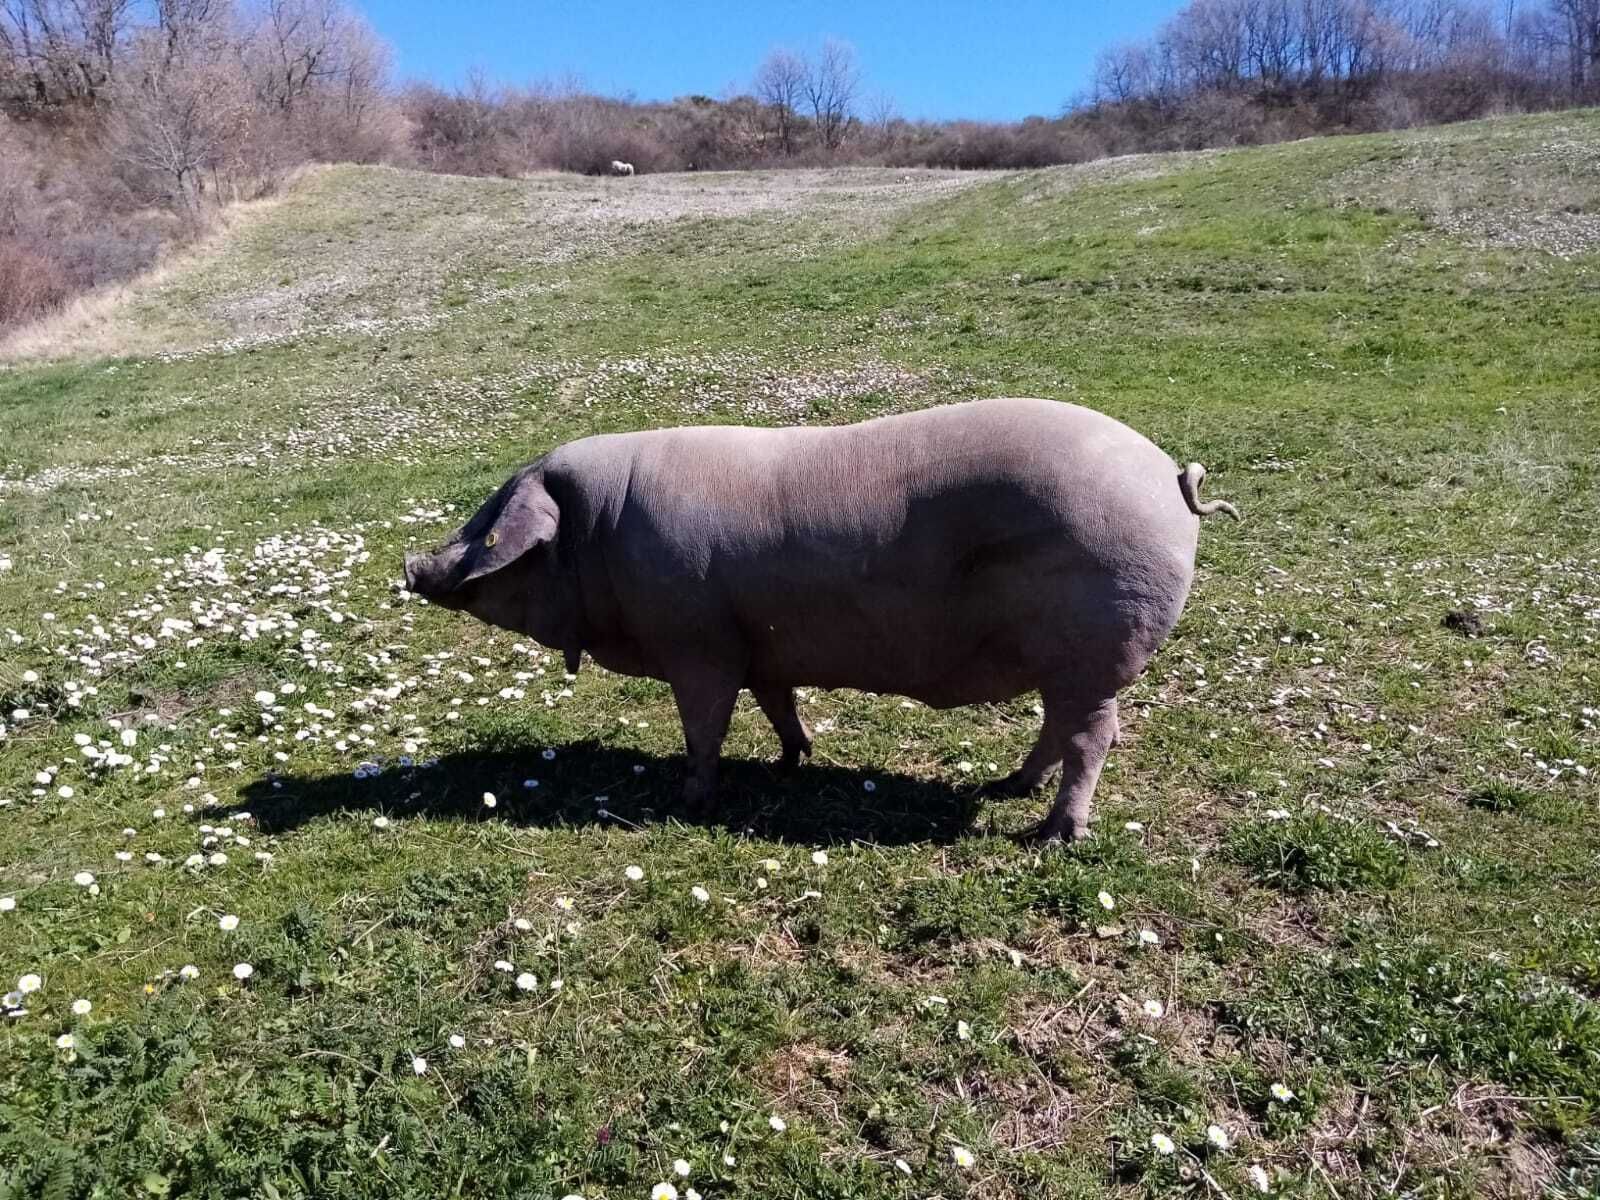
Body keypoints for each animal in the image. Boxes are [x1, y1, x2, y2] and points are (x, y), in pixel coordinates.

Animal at [403, 397, 1238, 841]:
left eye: (492, 524)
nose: (412, 567)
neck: (602, 531)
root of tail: (1170, 476)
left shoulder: (698, 644)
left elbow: (704, 726)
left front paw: (690, 801)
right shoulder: (760, 646)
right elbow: (778, 705)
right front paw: (790, 762)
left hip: (1094, 651)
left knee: (1093, 735)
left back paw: (1051, 834)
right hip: (1065, 661)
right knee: (1058, 729)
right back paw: (1008, 787)